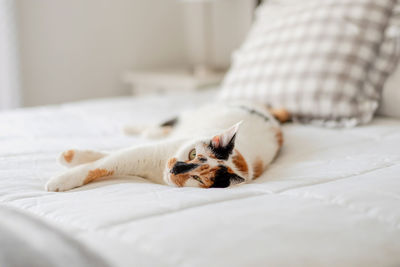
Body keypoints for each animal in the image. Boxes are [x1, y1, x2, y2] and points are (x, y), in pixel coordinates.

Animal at [45, 101, 290, 193]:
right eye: (193, 153)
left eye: (199, 179)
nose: (175, 169)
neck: (157, 170)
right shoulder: (149, 152)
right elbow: (104, 162)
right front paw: (63, 175)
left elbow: (105, 161)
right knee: (161, 126)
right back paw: (134, 128)